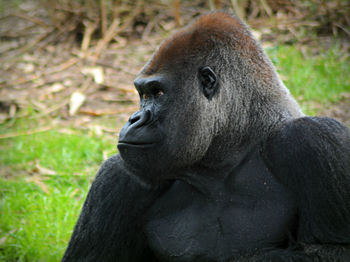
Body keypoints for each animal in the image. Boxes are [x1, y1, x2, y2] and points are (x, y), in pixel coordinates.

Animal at [62, 12, 350, 262]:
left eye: (157, 93)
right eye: (143, 94)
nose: (134, 119)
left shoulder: (314, 140)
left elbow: (335, 249)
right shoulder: (117, 178)